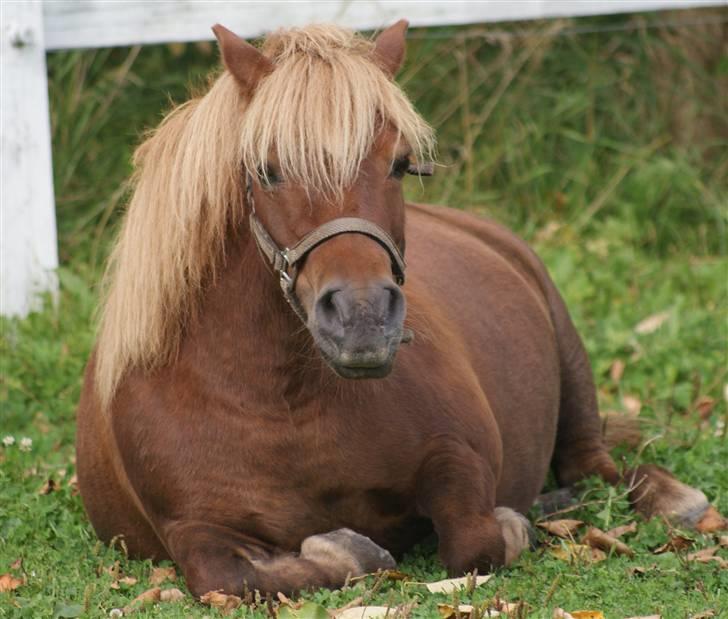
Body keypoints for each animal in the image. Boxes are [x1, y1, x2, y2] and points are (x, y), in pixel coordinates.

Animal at [78, 21, 716, 600]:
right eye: (266, 170)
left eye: (400, 163)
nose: (362, 319)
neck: (281, 404)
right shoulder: (193, 529)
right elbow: (234, 579)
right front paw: (346, 549)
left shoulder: (457, 455)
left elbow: (476, 541)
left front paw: (514, 525)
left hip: (572, 363)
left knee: (596, 468)